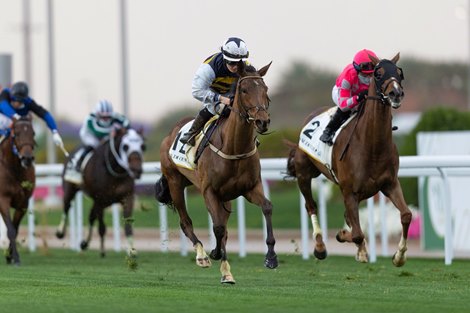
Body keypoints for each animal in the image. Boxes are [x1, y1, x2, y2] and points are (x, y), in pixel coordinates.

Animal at [55, 125, 144, 258]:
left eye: (143, 146)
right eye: (125, 146)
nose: (137, 170)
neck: (114, 171)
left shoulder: (127, 197)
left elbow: (128, 224)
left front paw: (131, 250)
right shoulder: (100, 199)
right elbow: (102, 227)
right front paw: (102, 251)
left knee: (91, 217)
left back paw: (84, 243)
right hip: (70, 188)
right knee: (67, 206)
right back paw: (60, 232)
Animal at [156, 61, 278, 282]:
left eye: (265, 89)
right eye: (244, 90)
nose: (262, 121)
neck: (234, 147)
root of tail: (170, 134)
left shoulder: (250, 187)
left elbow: (266, 207)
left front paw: (271, 257)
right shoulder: (209, 191)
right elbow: (218, 227)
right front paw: (214, 253)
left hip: (224, 197)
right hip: (175, 182)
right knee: (186, 222)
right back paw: (202, 255)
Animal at [284, 53, 410, 266]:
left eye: (398, 72)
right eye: (378, 73)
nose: (396, 93)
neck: (372, 146)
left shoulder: (390, 184)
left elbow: (406, 215)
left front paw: (399, 255)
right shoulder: (349, 190)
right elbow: (358, 233)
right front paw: (357, 247)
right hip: (304, 174)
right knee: (311, 206)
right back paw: (320, 247)